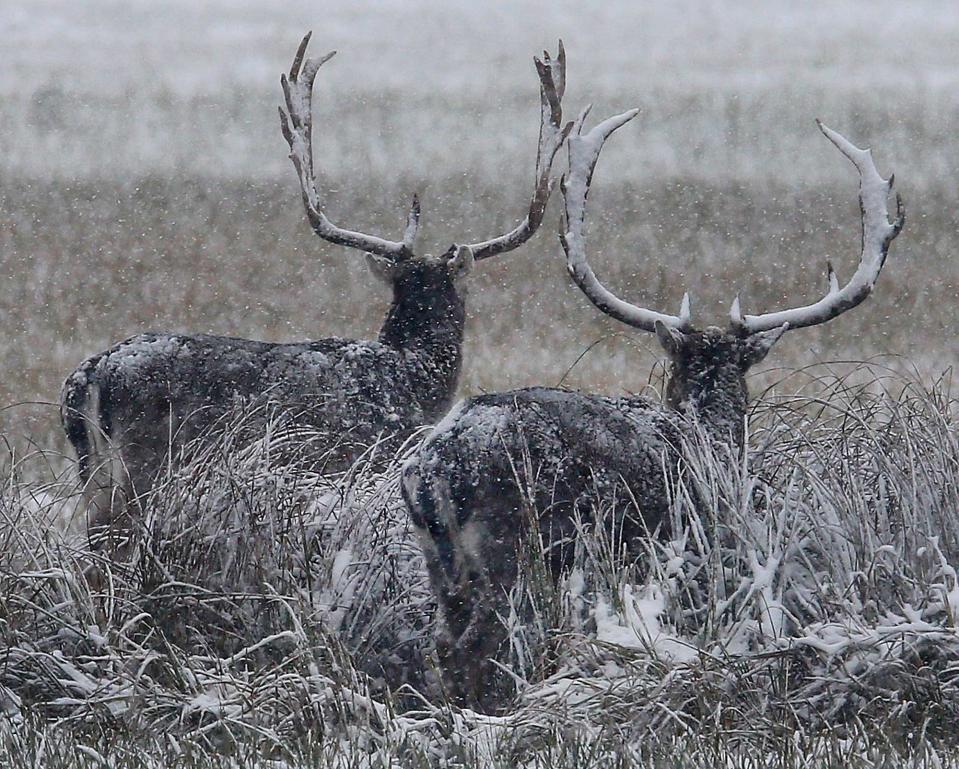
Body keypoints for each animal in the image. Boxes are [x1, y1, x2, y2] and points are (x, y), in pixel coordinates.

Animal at [400, 105, 908, 712]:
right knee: (475, 645)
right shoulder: (688, 542)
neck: (711, 439)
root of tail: (439, 464)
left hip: (440, 560)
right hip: (516, 546)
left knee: (440, 642)